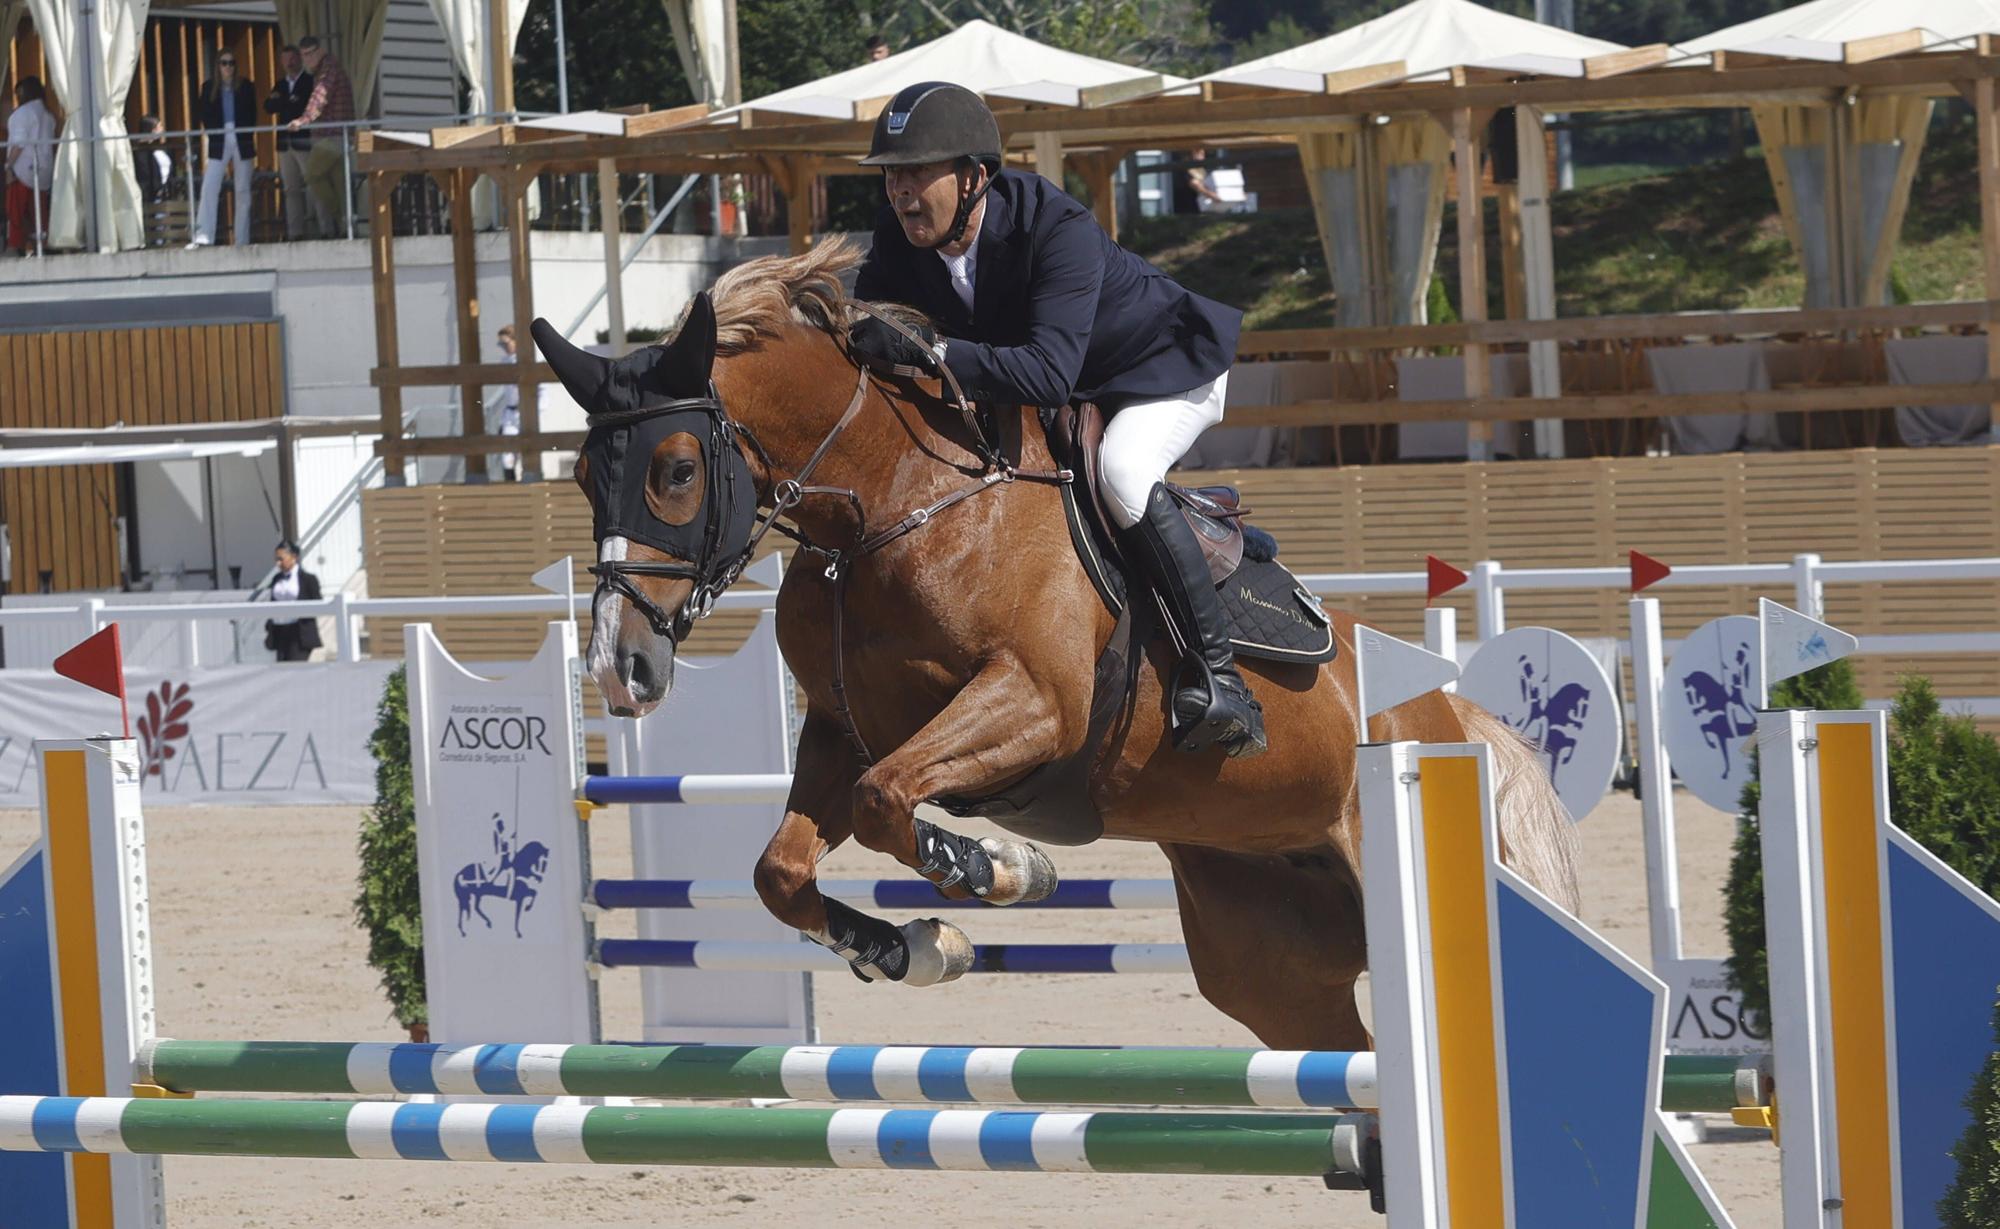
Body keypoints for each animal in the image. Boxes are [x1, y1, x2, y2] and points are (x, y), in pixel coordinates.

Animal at [548, 243, 1576, 1056]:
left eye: (678, 470)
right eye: (584, 476)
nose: (618, 667)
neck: (894, 503)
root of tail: (1450, 714)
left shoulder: (1033, 703)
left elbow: (891, 801)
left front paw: (998, 870)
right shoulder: (843, 731)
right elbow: (783, 869)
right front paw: (919, 947)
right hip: (1272, 969)